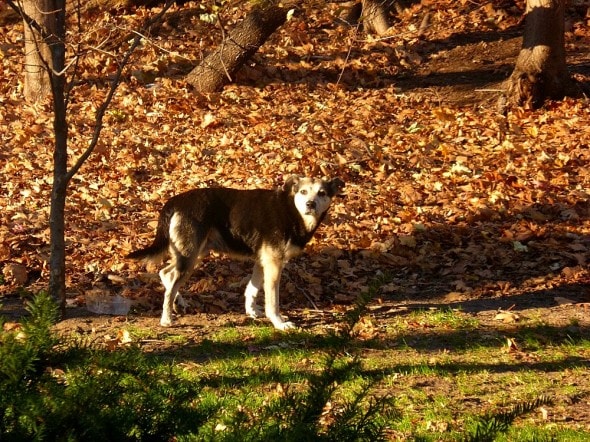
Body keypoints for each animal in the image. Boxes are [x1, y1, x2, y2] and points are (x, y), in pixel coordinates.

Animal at [127, 174, 344, 330]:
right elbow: (272, 301)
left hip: (194, 253)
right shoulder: (274, 263)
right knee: (170, 283)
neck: (292, 210)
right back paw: (166, 318)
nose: (310, 204)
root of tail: (175, 201)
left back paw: (178, 302)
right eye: (304, 192)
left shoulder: (263, 261)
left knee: (166, 273)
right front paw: (279, 323)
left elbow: (252, 289)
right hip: (190, 255)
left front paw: (252, 312)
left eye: (322, 193)